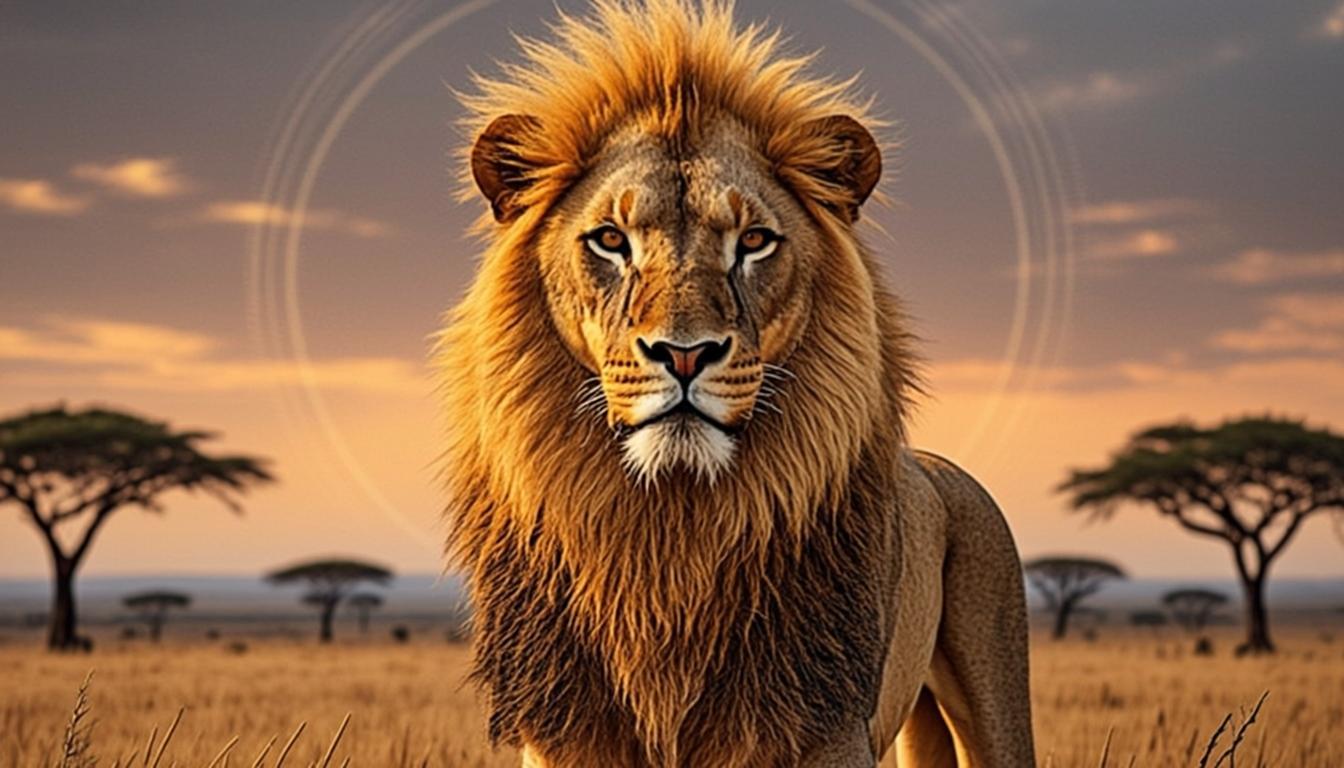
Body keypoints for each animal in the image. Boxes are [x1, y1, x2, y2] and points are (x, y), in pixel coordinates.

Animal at [435, 1, 1035, 766]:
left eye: (753, 241)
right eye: (610, 239)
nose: (684, 354)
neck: (670, 535)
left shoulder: (826, 727)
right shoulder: (564, 735)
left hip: (995, 668)